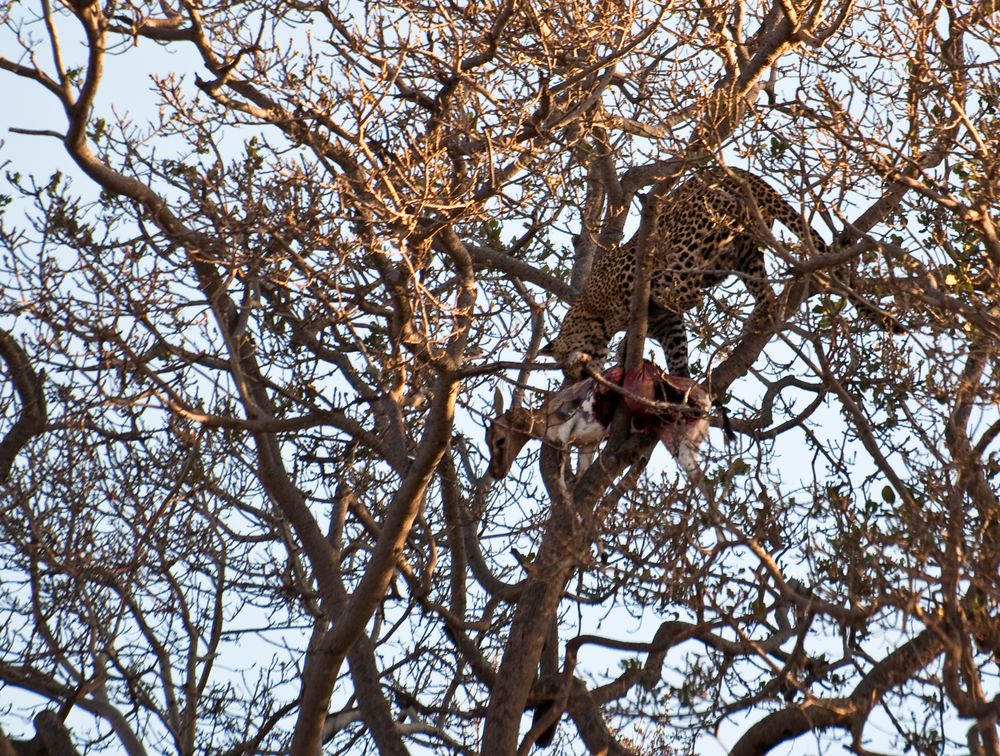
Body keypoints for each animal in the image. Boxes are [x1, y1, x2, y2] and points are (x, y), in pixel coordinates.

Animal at [548, 165, 828, 378]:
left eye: (564, 362)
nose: (576, 378)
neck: (597, 316)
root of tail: (745, 174)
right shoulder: (667, 323)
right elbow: (677, 348)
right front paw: (678, 378)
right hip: (747, 252)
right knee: (764, 291)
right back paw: (756, 317)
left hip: (692, 235)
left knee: (688, 284)